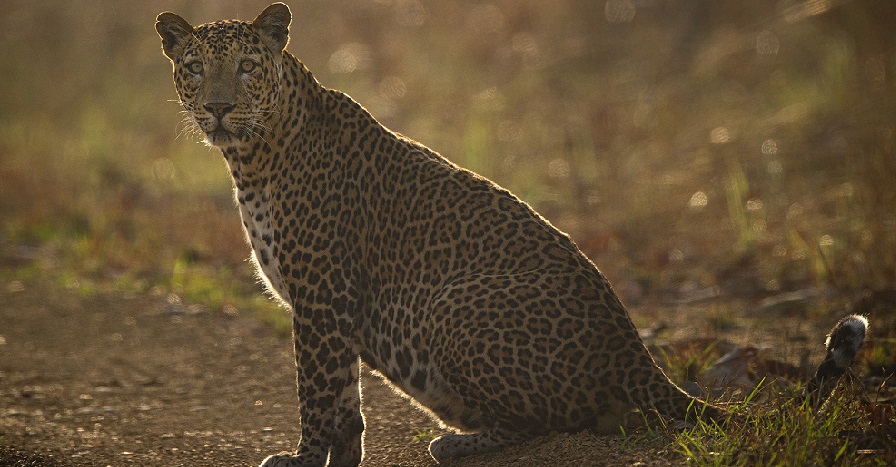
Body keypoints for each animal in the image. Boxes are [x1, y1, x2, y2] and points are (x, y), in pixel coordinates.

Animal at [156, 4, 868, 467]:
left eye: (247, 66)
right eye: (193, 67)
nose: (218, 107)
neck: (252, 156)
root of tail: (637, 355)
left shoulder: (322, 293)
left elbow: (317, 390)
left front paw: (302, 458)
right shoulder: (331, 303)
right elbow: (345, 402)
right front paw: (339, 458)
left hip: (452, 306)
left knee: (552, 421)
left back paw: (457, 443)